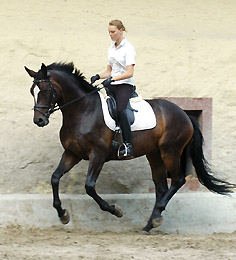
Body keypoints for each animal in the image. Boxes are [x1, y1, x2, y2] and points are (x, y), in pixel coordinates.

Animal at [24, 63, 235, 234]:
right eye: (32, 90)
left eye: (45, 90)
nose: (39, 120)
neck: (82, 110)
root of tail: (184, 114)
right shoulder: (72, 153)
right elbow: (55, 178)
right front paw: (63, 214)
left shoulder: (98, 155)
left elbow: (89, 186)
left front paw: (115, 210)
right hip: (154, 154)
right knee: (161, 187)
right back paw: (150, 223)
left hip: (170, 152)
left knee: (178, 180)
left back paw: (156, 218)